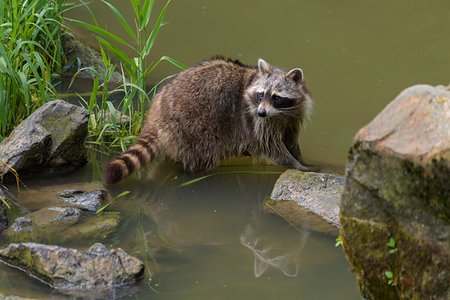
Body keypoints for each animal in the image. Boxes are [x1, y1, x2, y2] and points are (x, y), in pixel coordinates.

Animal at [105, 56, 312, 183]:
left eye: (276, 97)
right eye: (261, 95)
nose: (262, 113)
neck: (280, 113)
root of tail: (158, 109)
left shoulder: (292, 116)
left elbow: (290, 139)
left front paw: (299, 158)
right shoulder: (255, 119)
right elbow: (269, 145)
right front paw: (296, 165)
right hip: (194, 125)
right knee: (202, 154)